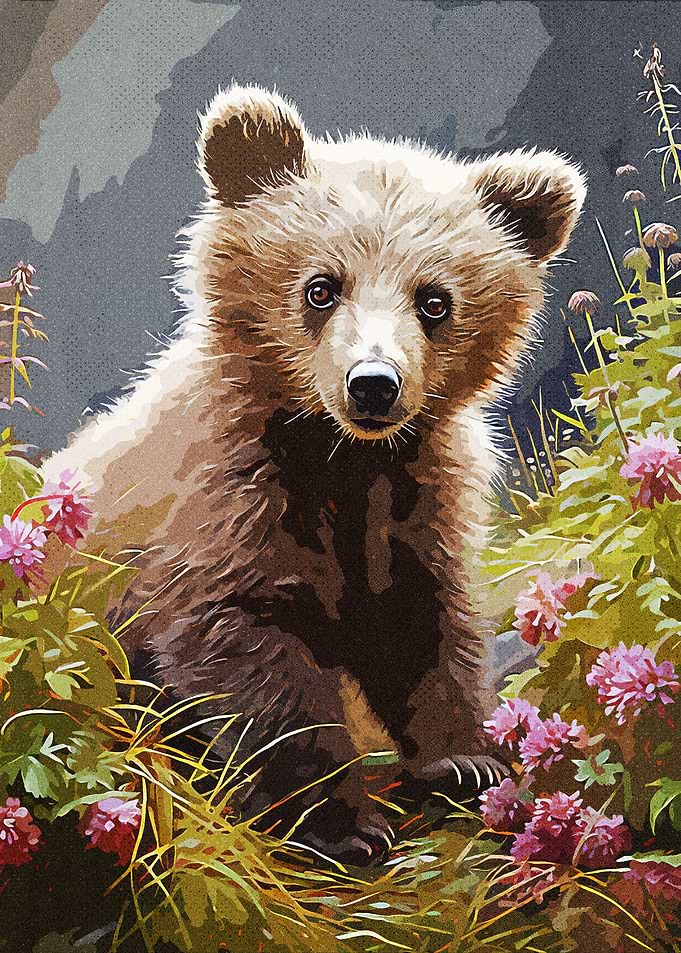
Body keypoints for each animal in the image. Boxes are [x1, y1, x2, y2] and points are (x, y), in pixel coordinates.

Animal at [42, 85, 585, 864]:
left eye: (434, 299)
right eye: (322, 287)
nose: (374, 384)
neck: (340, 456)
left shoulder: (414, 498)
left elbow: (420, 622)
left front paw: (462, 758)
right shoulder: (229, 504)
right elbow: (255, 663)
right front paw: (342, 822)